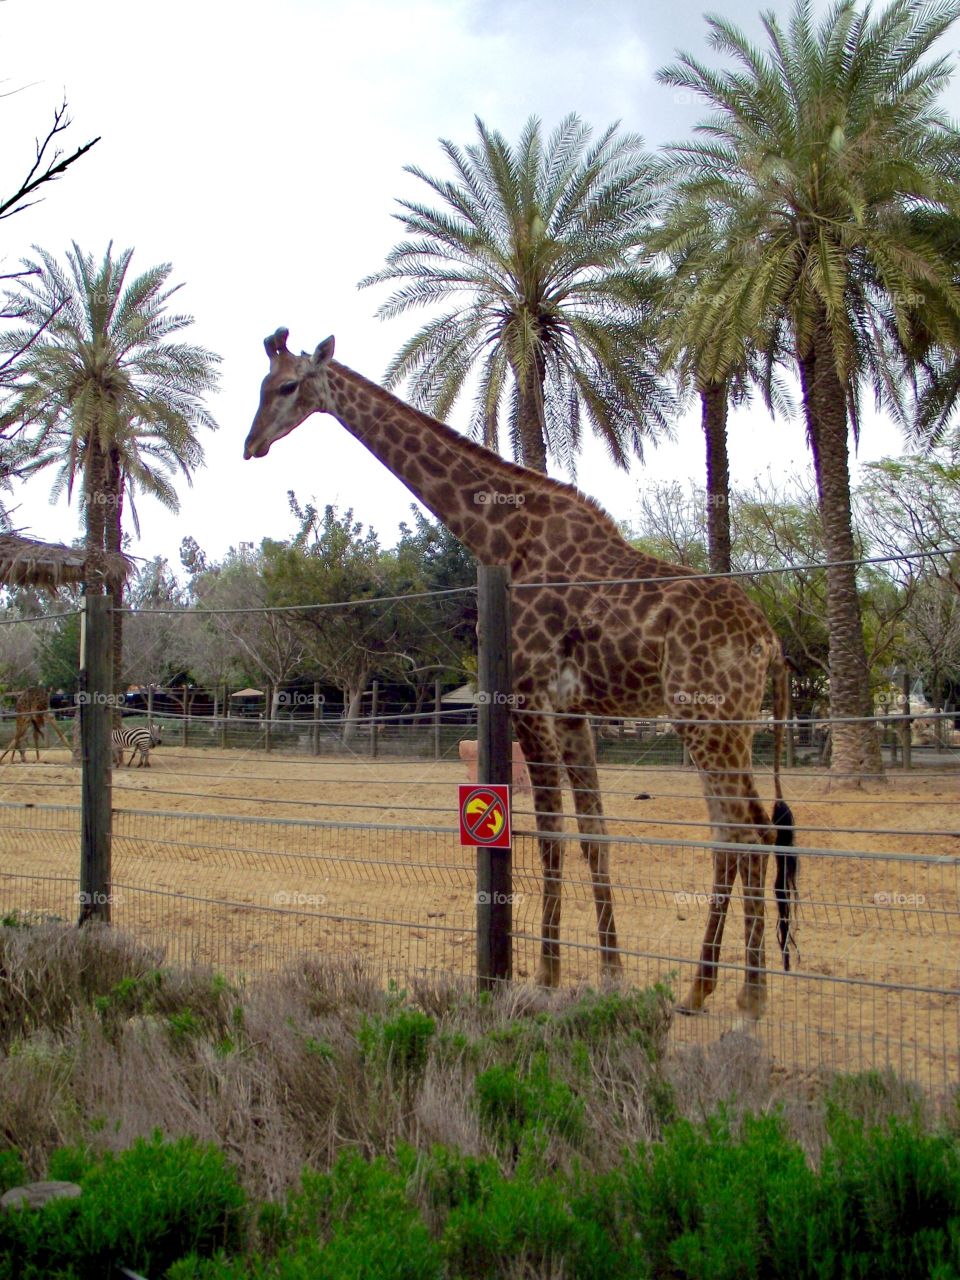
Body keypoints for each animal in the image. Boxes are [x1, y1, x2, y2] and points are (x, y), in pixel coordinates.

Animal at [244, 329, 797, 1016]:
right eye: (261, 386)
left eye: (287, 386)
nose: (251, 443)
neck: (500, 534)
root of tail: (770, 641)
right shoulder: (575, 709)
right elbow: (593, 834)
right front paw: (610, 975)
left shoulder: (529, 694)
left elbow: (550, 833)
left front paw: (547, 976)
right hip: (728, 727)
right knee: (740, 830)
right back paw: (702, 989)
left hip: (707, 720)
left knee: (747, 831)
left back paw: (748, 998)